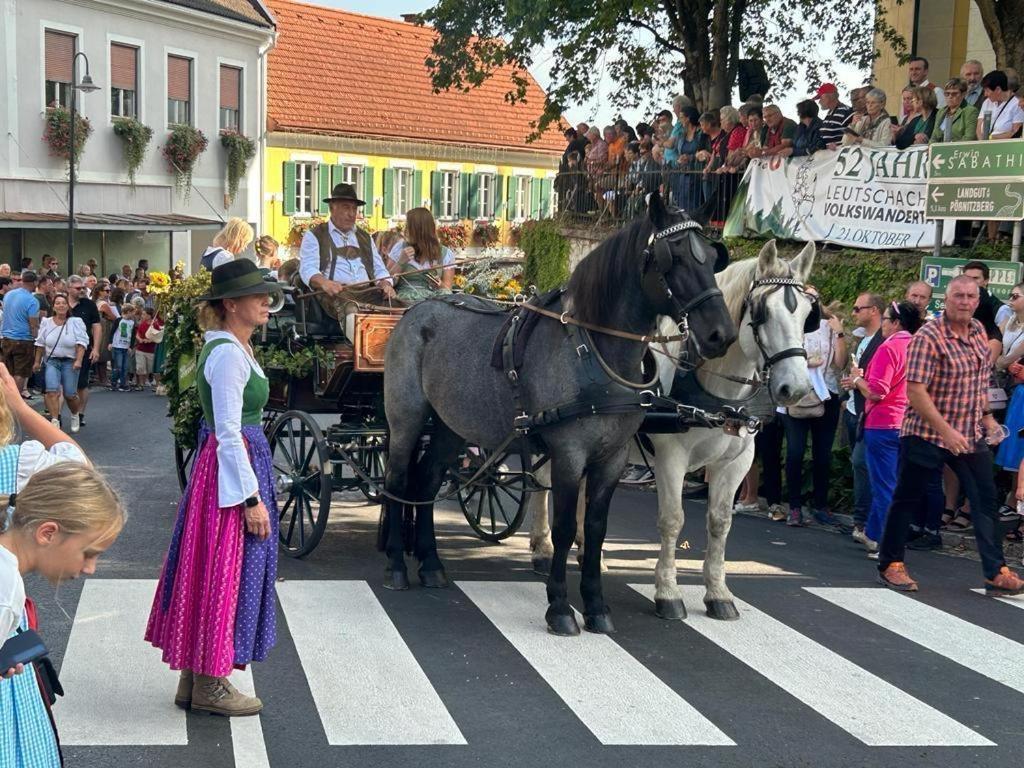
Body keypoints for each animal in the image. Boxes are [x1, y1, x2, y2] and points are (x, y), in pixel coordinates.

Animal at [376, 193, 737, 638]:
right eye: (677, 258)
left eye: (712, 258)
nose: (721, 334)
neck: (594, 353)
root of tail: (418, 310)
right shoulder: (569, 454)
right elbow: (565, 528)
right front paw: (561, 608)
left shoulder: (613, 458)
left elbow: (595, 529)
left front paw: (596, 606)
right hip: (406, 420)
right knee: (396, 482)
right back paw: (396, 564)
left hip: (450, 428)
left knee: (425, 482)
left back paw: (430, 564)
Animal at [528, 240, 815, 626]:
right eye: (762, 312)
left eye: (808, 315)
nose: (795, 389)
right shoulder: (671, 458)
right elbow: (672, 520)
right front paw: (668, 592)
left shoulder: (737, 462)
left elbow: (720, 523)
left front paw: (718, 593)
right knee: (542, 482)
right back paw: (543, 548)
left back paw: (591, 553)